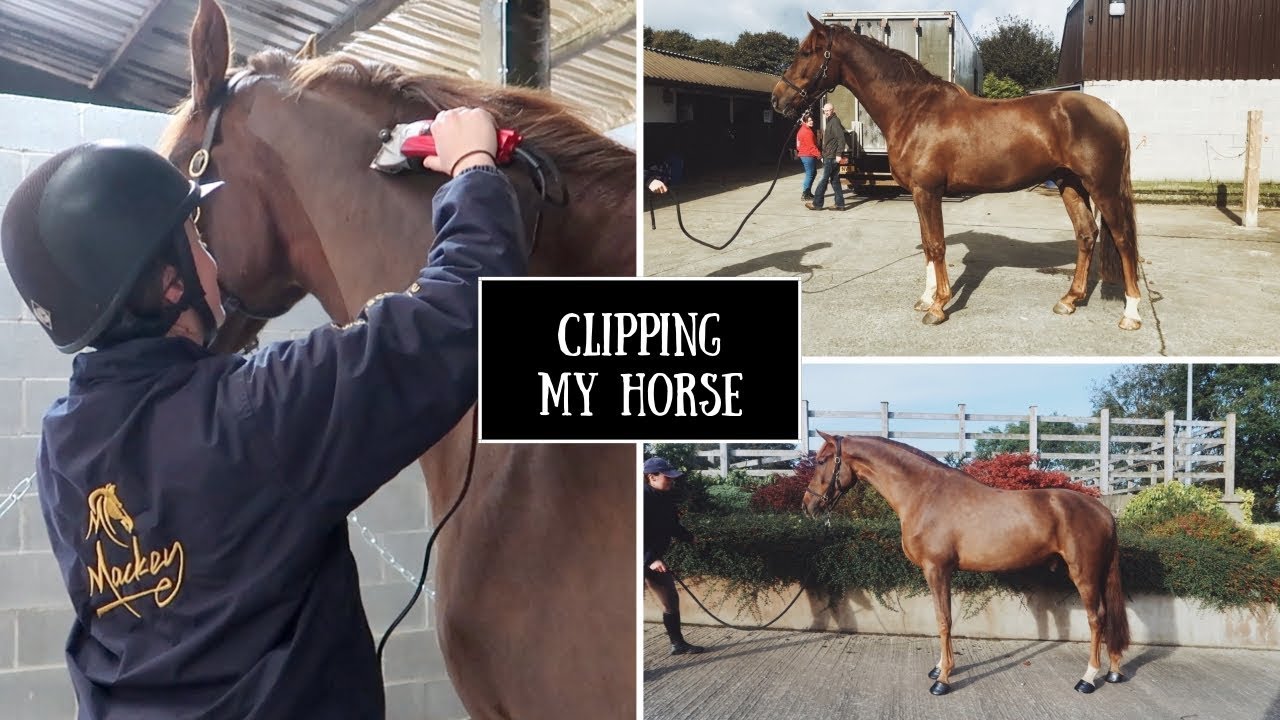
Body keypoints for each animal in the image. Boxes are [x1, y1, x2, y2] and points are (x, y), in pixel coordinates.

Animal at [772, 13, 1143, 331]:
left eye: (806, 52)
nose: (778, 100)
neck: (913, 109)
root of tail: (1113, 114)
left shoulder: (928, 191)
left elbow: (936, 246)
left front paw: (938, 307)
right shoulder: (918, 194)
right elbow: (927, 242)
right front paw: (925, 299)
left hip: (1104, 187)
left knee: (1123, 239)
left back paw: (1131, 314)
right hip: (1071, 184)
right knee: (1087, 235)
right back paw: (1069, 300)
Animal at [803, 432, 1129, 696]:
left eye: (821, 460)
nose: (808, 505)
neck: (924, 495)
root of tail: (1101, 510)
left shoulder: (937, 570)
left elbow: (943, 620)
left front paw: (942, 680)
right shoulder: (939, 572)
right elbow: (942, 618)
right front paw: (939, 668)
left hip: (1084, 574)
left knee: (1097, 618)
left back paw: (1088, 678)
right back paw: (1113, 671)